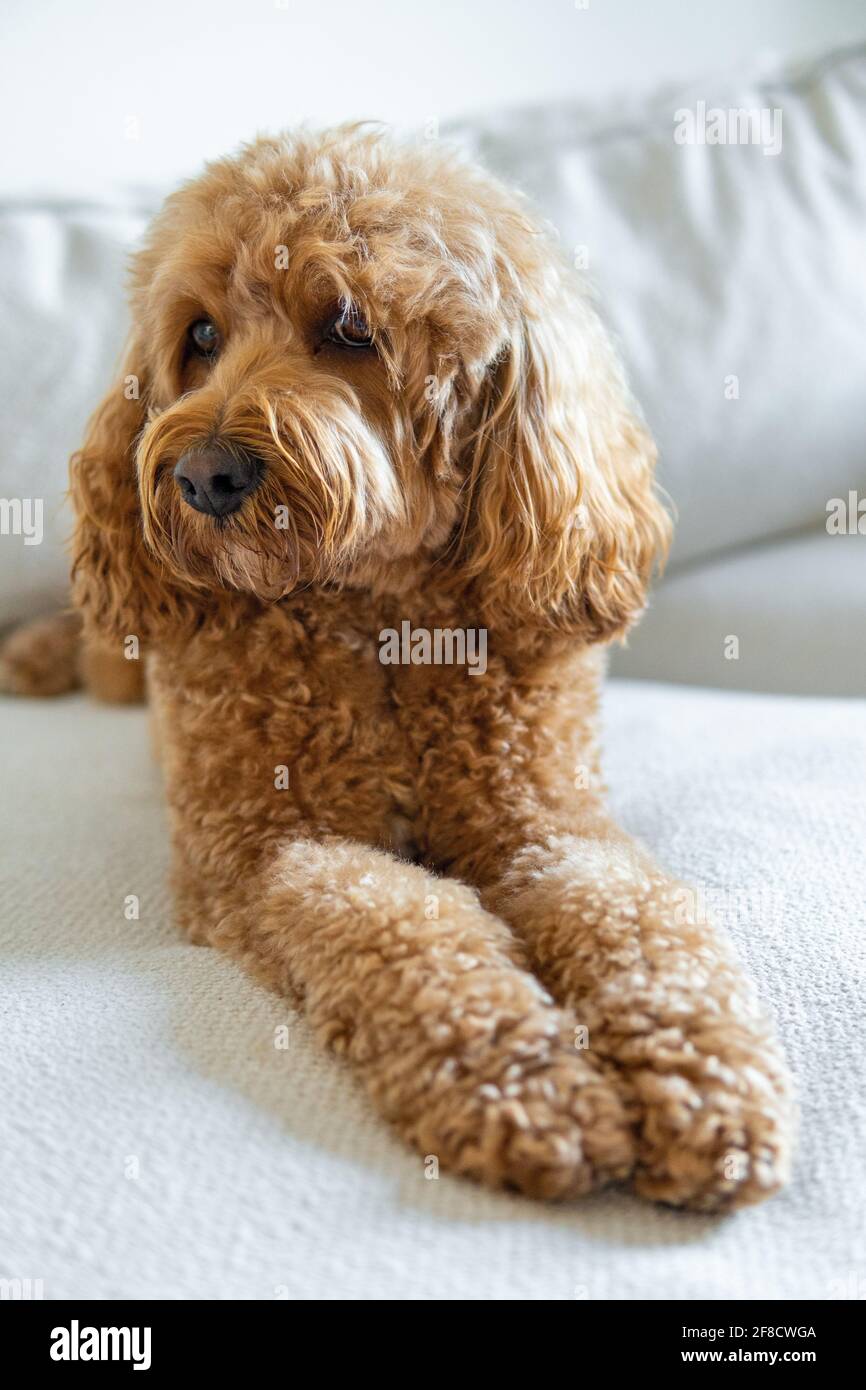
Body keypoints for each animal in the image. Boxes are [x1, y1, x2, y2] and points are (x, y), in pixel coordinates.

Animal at [5, 132, 795, 1217]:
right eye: (199, 336)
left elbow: (638, 921)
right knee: (92, 635)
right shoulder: (271, 847)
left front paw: (705, 1078)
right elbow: (402, 921)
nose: (203, 474)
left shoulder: (545, 824)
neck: (376, 621)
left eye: (348, 328)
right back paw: (35, 651)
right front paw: (523, 1079)